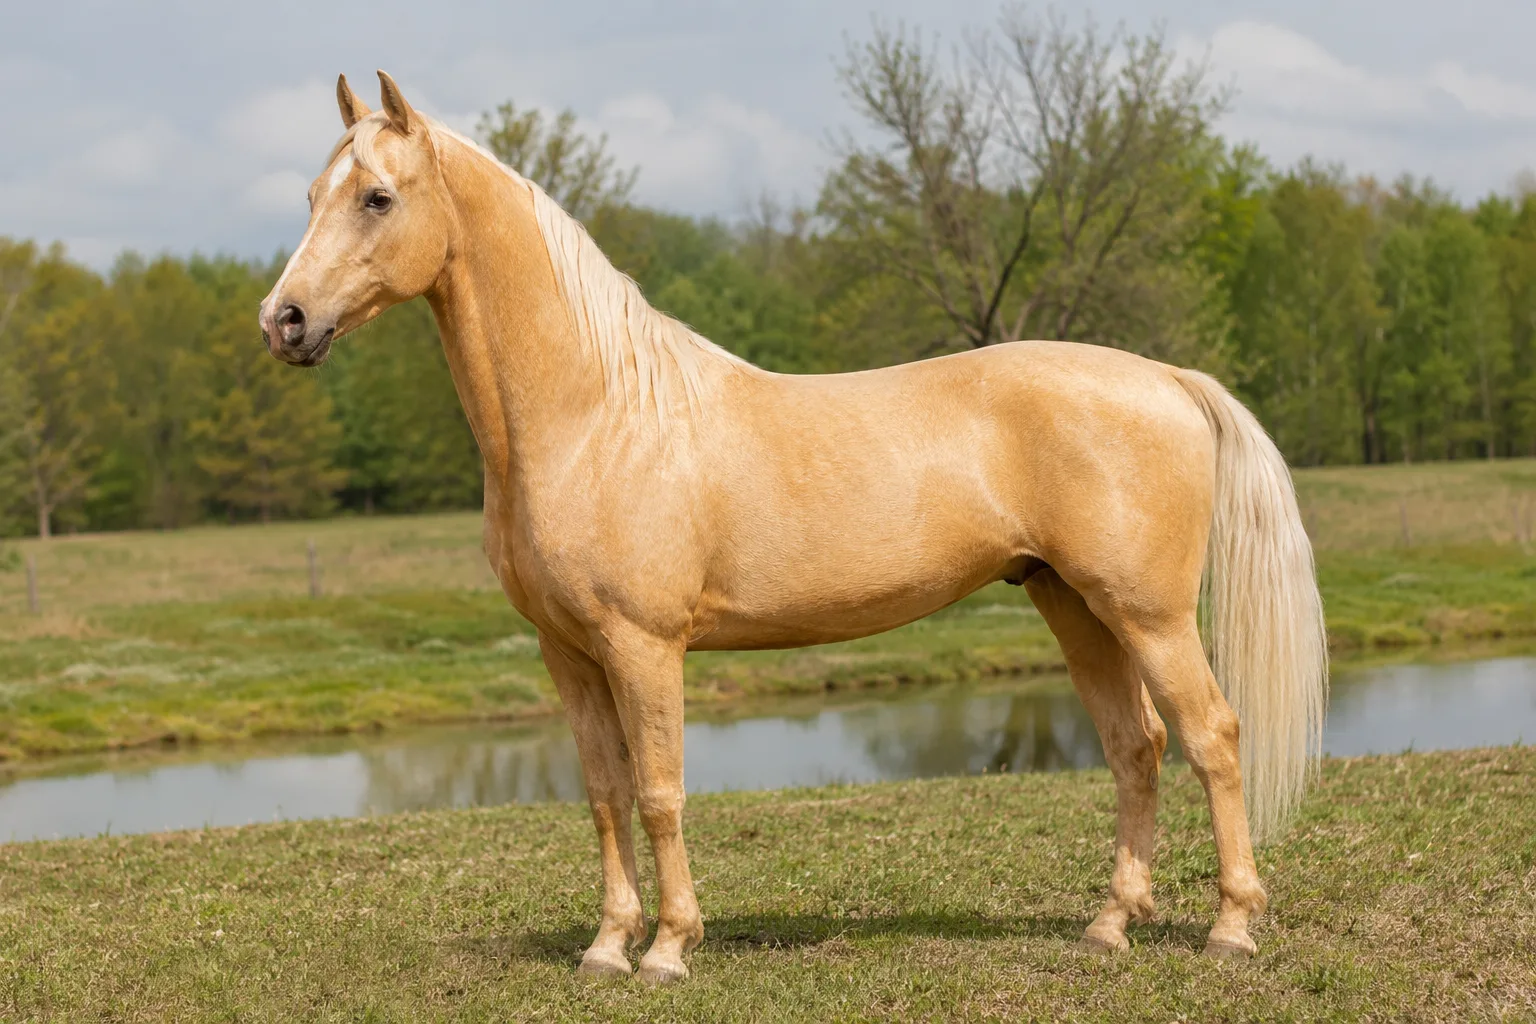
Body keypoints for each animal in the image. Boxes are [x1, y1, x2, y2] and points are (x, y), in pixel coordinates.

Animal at [259, 71, 1327, 984]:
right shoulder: (568, 652)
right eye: (311, 193)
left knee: (1211, 736)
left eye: (377, 199)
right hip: (1074, 605)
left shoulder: (644, 647)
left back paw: (1232, 927)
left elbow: (659, 791)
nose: (285, 321)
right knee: (1134, 746)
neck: (597, 415)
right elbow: (604, 793)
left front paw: (668, 949)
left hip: (1148, 614)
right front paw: (607, 948)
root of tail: (1167, 379)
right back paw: (1110, 925)